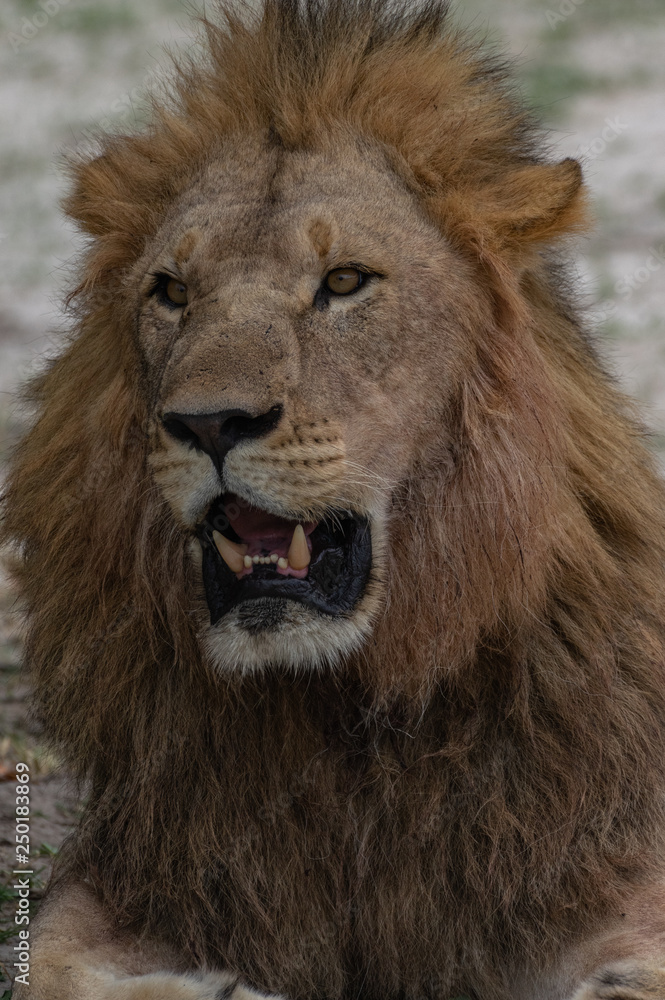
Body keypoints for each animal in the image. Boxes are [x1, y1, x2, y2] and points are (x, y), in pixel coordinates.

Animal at [6, 0, 665, 996]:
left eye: (344, 282)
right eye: (172, 291)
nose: (208, 422)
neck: (340, 713)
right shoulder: (141, 863)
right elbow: (42, 961)